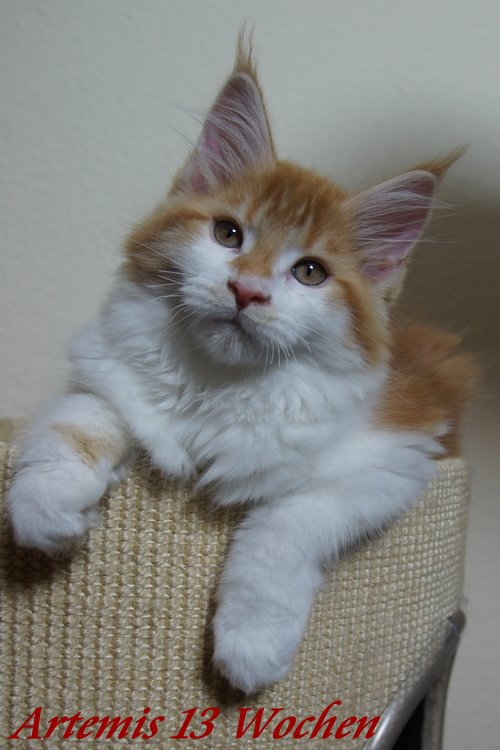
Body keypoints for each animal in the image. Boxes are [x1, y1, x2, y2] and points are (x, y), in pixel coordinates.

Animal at [7, 42, 476, 692]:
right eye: (228, 234)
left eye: (309, 272)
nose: (246, 290)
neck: (219, 385)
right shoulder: (109, 371)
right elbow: (78, 417)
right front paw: (45, 503)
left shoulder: (396, 457)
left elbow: (286, 521)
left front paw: (252, 640)